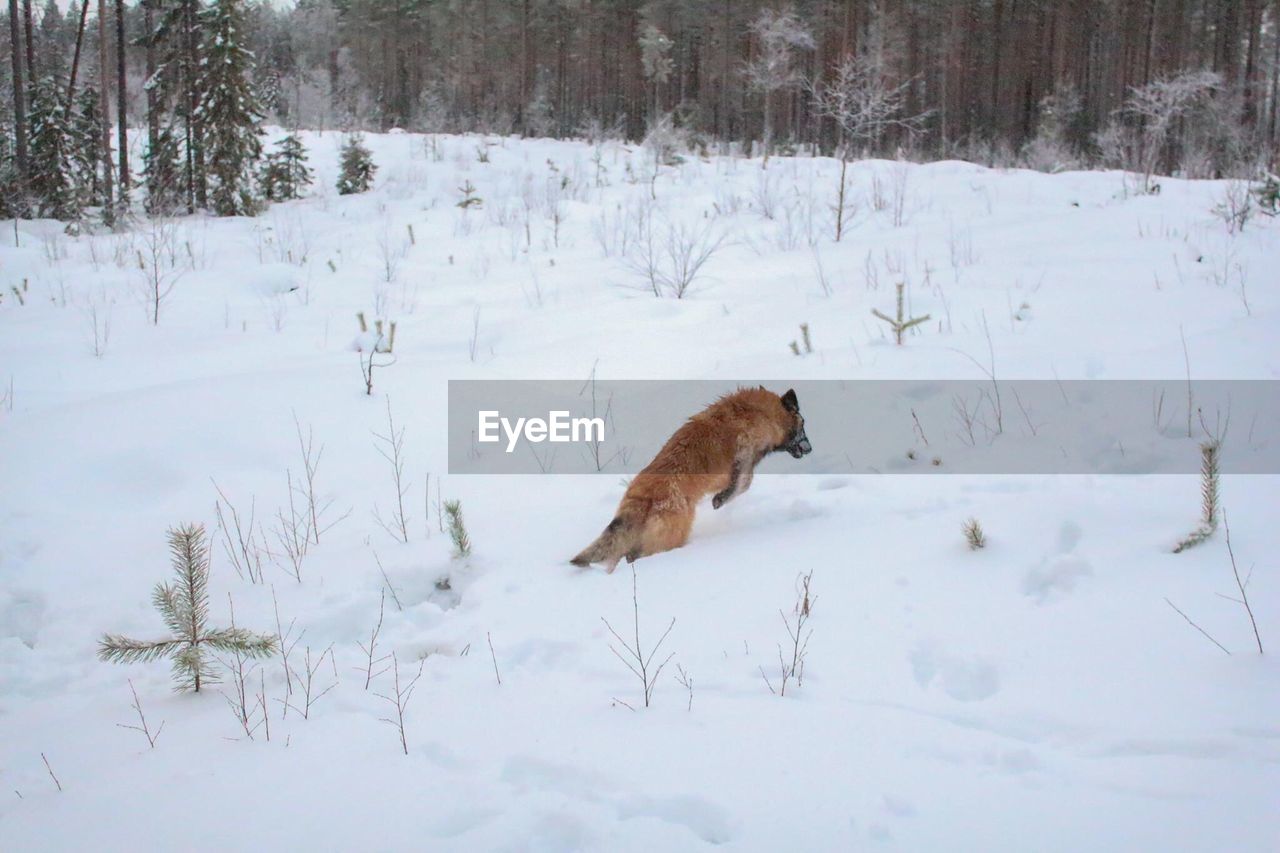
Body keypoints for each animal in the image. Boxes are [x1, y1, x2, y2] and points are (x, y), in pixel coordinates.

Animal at [570, 386, 808, 571]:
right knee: (636, 556)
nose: (810, 449)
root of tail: (646, 493)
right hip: (672, 537)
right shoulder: (744, 462)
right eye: (803, 425)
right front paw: (719, 500)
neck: (760, 413)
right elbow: (739, 488)